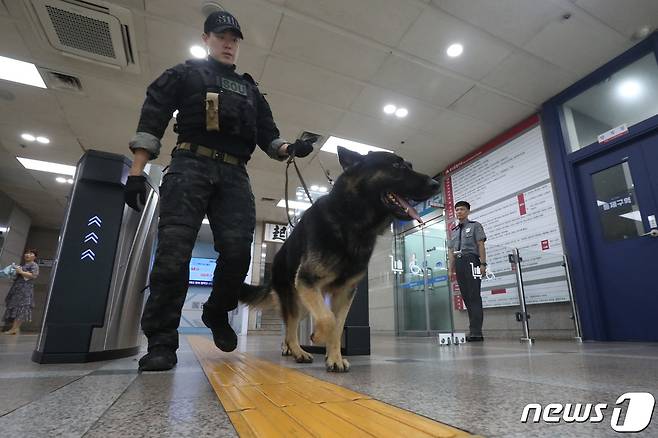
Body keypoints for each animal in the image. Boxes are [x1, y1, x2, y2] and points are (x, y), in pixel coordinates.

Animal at [238, 148, 438, 372]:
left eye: (410, 165)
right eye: (396, 165)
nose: (435, 184)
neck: (351, 220)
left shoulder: (344, 293)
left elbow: (338, 324)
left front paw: (334, 358)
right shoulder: (308, 280)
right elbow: (329, 319)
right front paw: (318, 336)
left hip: (304, 303)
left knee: (292, 327)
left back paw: (292, 349)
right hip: (296, 298)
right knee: (291, 328)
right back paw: (298, 351)